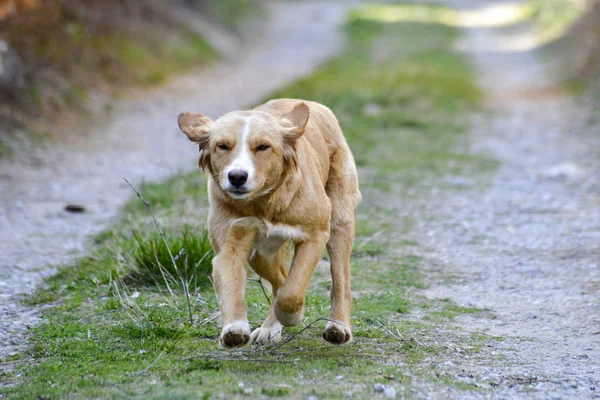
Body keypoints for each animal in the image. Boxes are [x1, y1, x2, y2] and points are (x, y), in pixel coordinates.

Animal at [176, 99, 358, 346]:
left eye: (263, 147)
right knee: (280, 278)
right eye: (222, 146)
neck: (263, 204)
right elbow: (232, 286)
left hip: (339, 223)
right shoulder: (230, 244)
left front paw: (291, 315)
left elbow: (293, 290)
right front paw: (234, 328)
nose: (237, 176)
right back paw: (270, 327)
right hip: (261, 254)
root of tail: (314, 104)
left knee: (340, 281)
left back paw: (338, 326)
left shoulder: (316, 235)